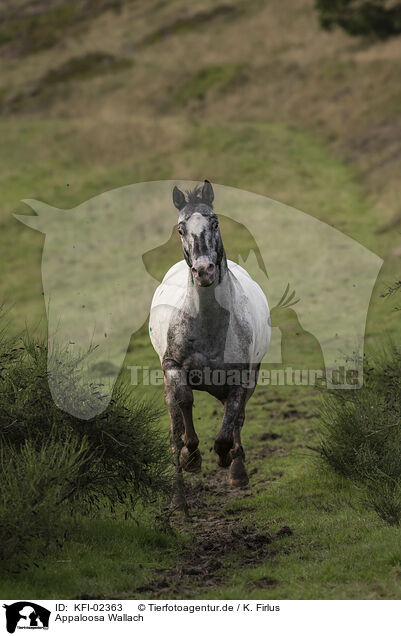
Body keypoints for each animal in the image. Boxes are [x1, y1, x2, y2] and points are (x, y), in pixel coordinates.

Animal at [148, 181, 270, 510]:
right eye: (180, 229)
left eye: (214, 222)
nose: (204, 271)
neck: (209, 327)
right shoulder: (174, 368)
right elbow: (184, 403)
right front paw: (192, 457)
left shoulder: (241, 377)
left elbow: (231, 422)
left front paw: (227, 458)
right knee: (176, 423)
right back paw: (180, 496)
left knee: (236, 417)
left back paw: (237, 469)